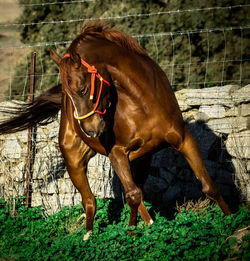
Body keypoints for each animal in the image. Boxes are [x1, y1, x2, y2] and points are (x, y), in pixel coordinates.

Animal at [0, 21, 231, 238]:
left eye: (82, 88)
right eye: (68, 95)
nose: (90, 130)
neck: (142, 102)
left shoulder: (183, 140)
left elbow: (209, 186)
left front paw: (231, 221)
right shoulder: (117, 153)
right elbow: (132, 196)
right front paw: (130, 235)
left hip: (141, 159)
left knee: (137, 191)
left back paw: (149, 224)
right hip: (75, 160)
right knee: (91, 200)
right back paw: (88, 235)